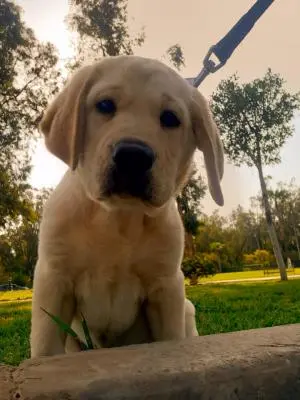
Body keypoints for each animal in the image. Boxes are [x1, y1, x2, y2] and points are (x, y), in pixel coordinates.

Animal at [30, 54, 223, 358]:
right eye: (105, 105)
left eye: (170, 118)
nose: (133, 156)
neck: (118, 217)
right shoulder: (54, 279)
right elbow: (45, 349)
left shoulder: (166, 287)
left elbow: (172, 339)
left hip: (187, 310)